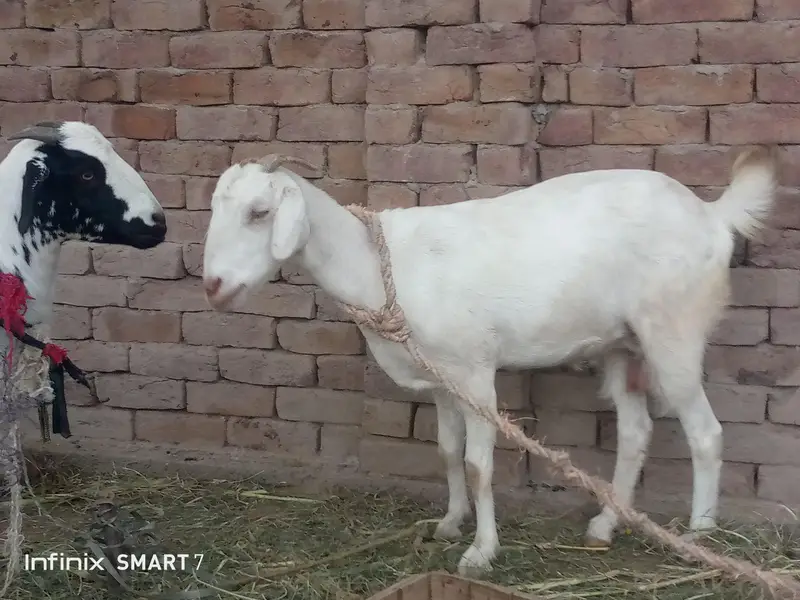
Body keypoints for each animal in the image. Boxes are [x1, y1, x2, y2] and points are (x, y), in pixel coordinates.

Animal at [200, 148, 778, 576]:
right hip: (622, 344)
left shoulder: (475, 371)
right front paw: (450, 522)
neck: (381, 266)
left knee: (705, 432)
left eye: (260, 212)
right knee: (635, 432)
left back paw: (701, 536)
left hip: (674, 332)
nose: (214, 286)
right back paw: (605, 527)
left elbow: (479, 464)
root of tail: (712, 215)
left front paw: (481, 551)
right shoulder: (441, 378)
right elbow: (447, 451)